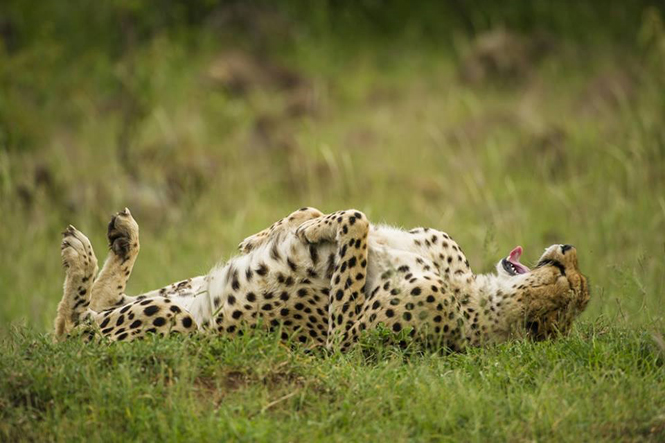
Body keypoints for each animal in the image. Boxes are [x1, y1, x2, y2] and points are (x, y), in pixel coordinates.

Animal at [54, 207, 588, 350]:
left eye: (572, 284)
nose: (567, 248)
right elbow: (322, 213)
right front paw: (266, 237)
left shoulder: (343, 342)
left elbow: (356, 220)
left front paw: (313, 233)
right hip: (177, 291)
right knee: (93, 310)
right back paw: (120, 238)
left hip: (179, 324)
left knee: (73, 331)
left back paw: (81, 258)